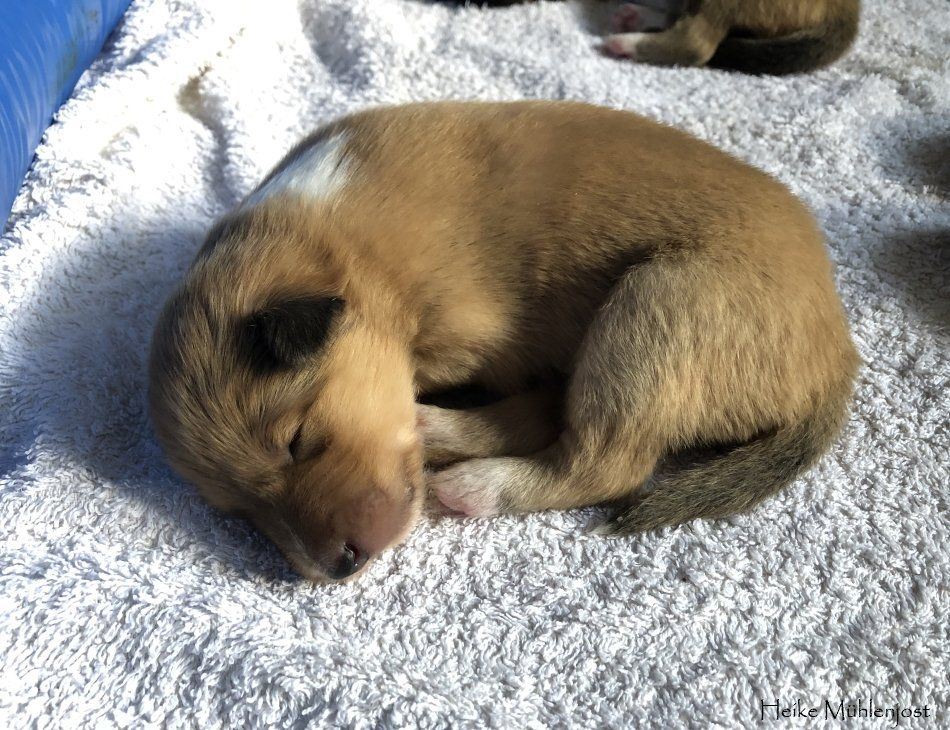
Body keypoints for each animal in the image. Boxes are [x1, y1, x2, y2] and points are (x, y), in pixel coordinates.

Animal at [149, 101, 859, 582]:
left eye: (296, 441)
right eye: (239, 512)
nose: (342, 566)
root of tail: (839, 364)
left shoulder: (490, 340)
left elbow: (530, 406)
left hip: (653, 309)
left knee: (605, 463)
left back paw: (476, 483)